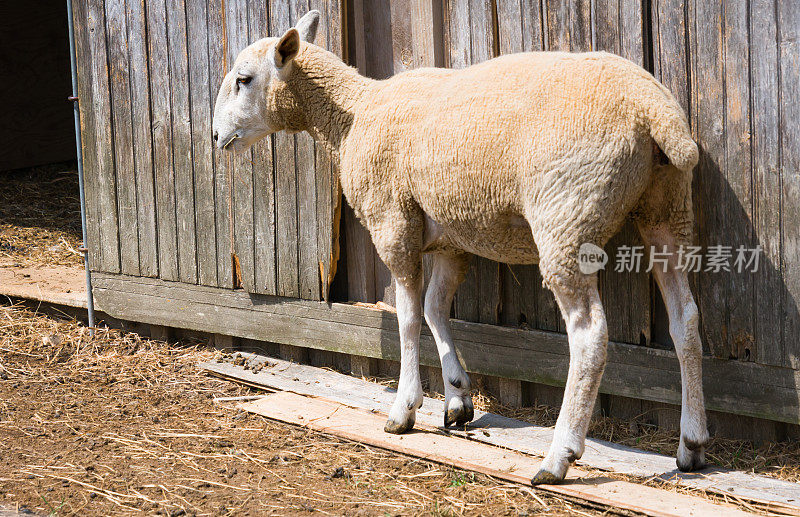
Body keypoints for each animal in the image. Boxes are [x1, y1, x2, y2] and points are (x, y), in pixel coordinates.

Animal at [211, 9, 708, 484]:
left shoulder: (394, 223)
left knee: (589, 334)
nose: (215, 137)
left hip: (567, 213)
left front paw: (404, 409)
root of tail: (652, 110)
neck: (355, 115)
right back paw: (692, 444)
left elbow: (409, 318)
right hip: (667, 209)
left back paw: (559, 456)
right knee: (685, 319)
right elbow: (435, 309)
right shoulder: (451, 240)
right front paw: (456, 397)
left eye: (244, 79)